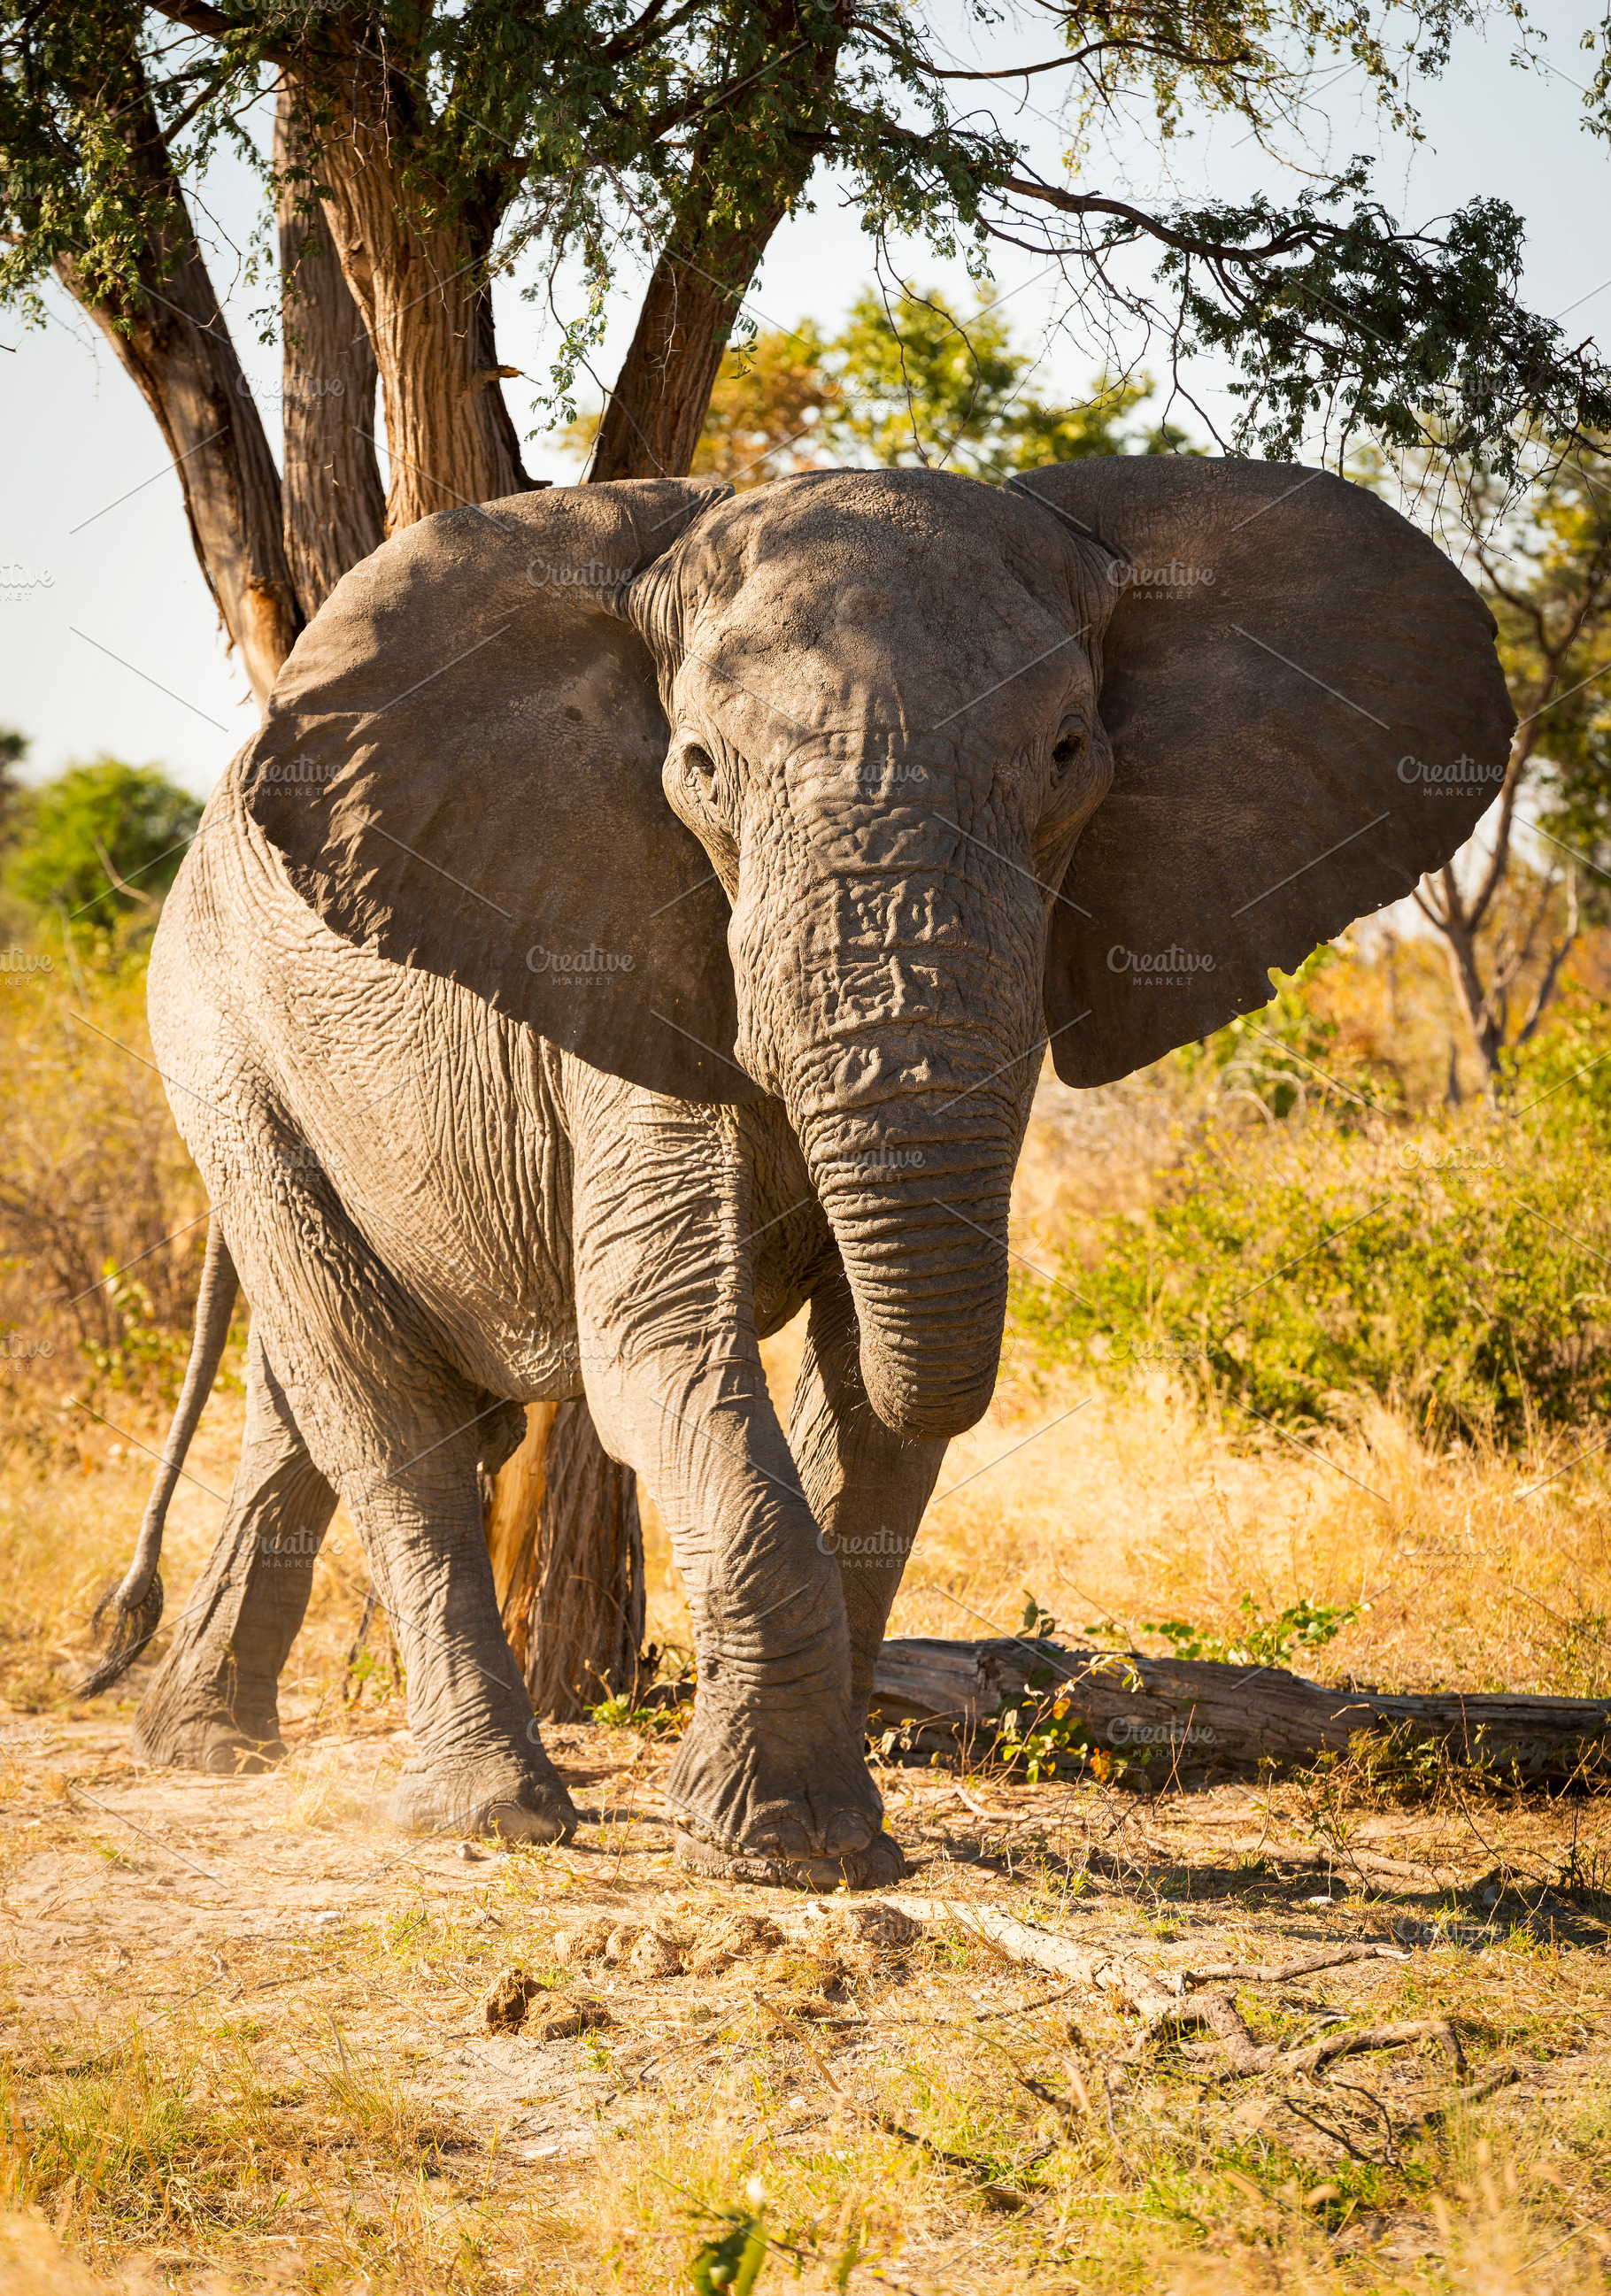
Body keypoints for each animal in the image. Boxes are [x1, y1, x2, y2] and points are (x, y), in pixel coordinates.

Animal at [85, 460, 1510, 1889]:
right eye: (700, 768)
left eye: (1068, 752)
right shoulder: (631, 959)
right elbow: (659, 1346)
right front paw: (775, 1847)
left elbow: (875, 1404)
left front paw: (805, 1837)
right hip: (223, 1049)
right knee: (383, 1405)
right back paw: (487, 1814)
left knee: (311, 1398)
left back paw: (198, 1744)